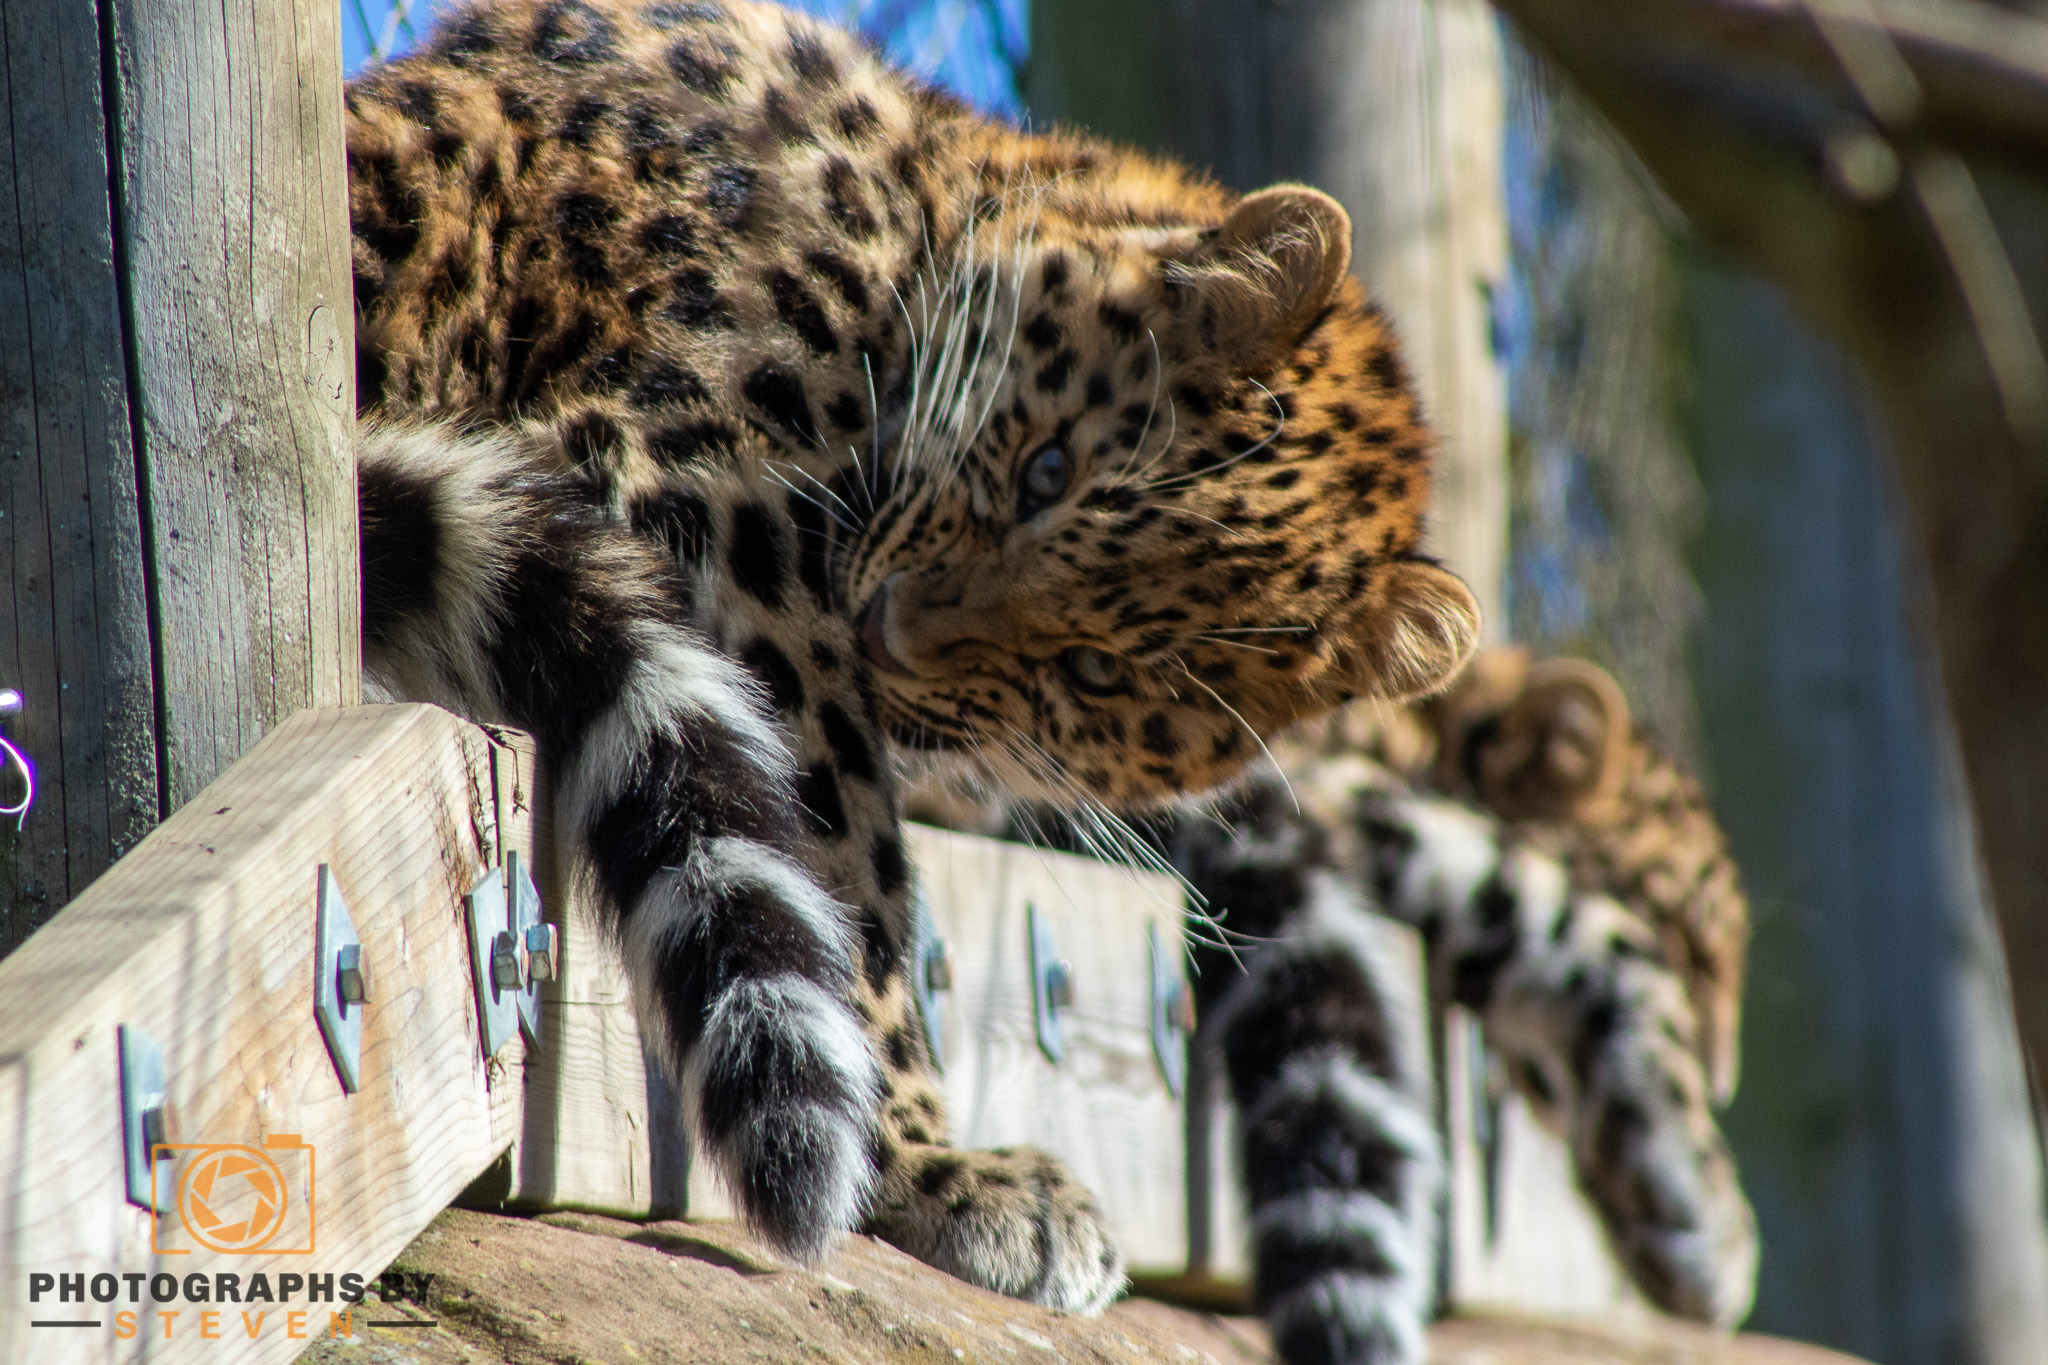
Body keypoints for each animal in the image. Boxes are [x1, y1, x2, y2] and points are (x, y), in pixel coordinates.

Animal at [346, 0, 1480, 1315]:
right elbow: (846, 869)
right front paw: (937, 1167)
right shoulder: (713, 503)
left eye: (1102, 677)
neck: (914, 197)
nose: (889, 636)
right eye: (1043, 471)